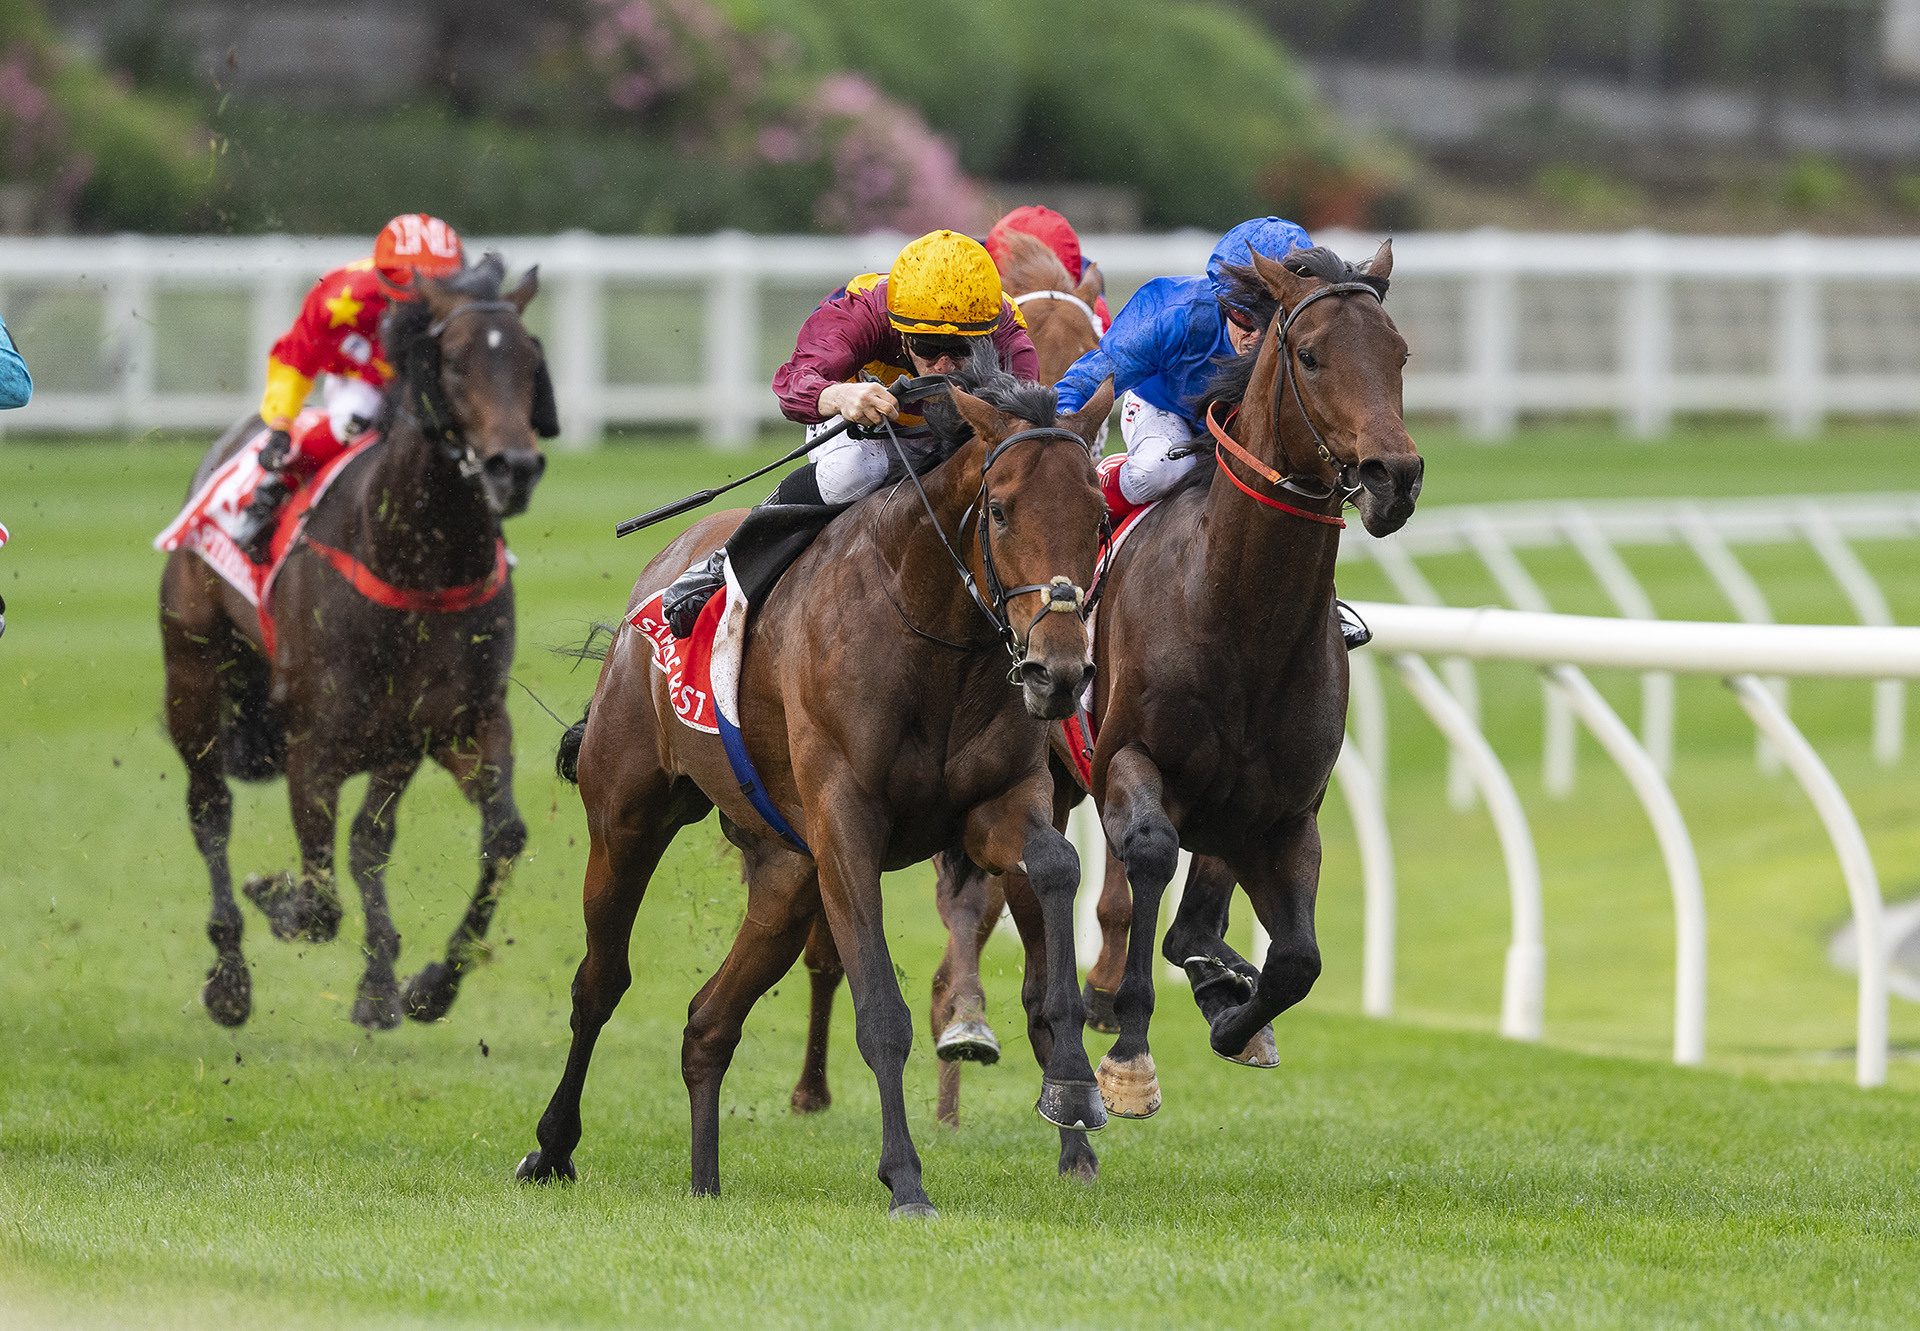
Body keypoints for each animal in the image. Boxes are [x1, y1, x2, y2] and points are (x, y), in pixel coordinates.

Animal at [158, 257, 552, 1029]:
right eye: (455, 362)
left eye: (529, 361)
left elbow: (494, 837)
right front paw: (278, 902)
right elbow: (317, 898)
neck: (414, 563)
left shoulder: (448, 724)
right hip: (193, 674)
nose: (514, 468)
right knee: (210, 810)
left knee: (366, 841)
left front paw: (420, 984)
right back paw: (229, 976)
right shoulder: (313, 743)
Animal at [518, 370, 1121, 1213]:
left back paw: (704, 1179)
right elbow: (881, 1012)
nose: (1059, 670)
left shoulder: (996, 805)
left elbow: (1058, 868)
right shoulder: (846, 826)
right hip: (627, 817)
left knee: (707, 1022)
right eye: (1000, 510)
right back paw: (551, 1145)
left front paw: (1072, 1088)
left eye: (1098, 519)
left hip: (787, 874)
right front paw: (905, 1178)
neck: (929, 627)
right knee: (600, 981)